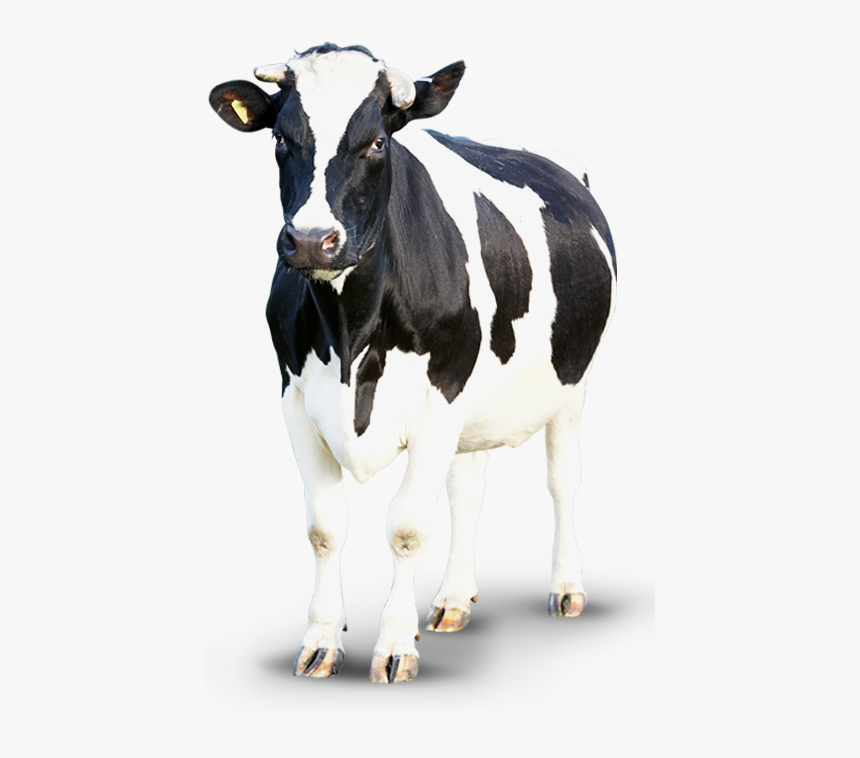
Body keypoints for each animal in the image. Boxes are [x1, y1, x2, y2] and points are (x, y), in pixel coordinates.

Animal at [209, 43, 617, 684]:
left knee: (562, 479)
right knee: (468, 488)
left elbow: (405, 527)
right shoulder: (294, 399)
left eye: (377, 142)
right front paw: (321, 642)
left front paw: (395, 645)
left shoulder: (440, 397)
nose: (311, 239)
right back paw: (454, 600)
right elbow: (325, 529)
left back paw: (567, 588)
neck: (350, 331)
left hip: (573, 384)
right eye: (280, 138)